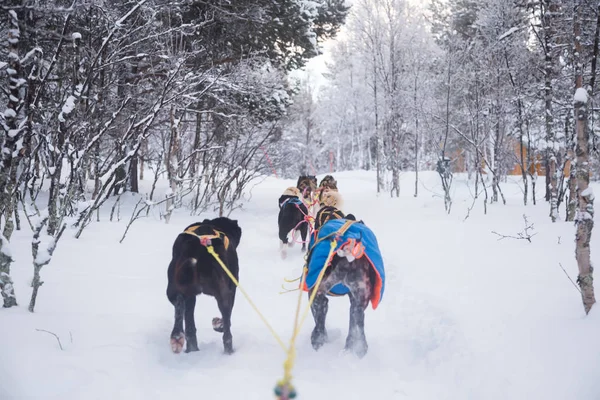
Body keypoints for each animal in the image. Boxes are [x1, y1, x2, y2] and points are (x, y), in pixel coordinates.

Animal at [166, 217, 241, 354]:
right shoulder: (233, 287)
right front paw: (218, 324)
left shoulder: (191, 297)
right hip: (223, 292)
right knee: (227, 332)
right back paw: (229, 351)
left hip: (174, 289)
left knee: (180, 307)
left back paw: (178, 338)